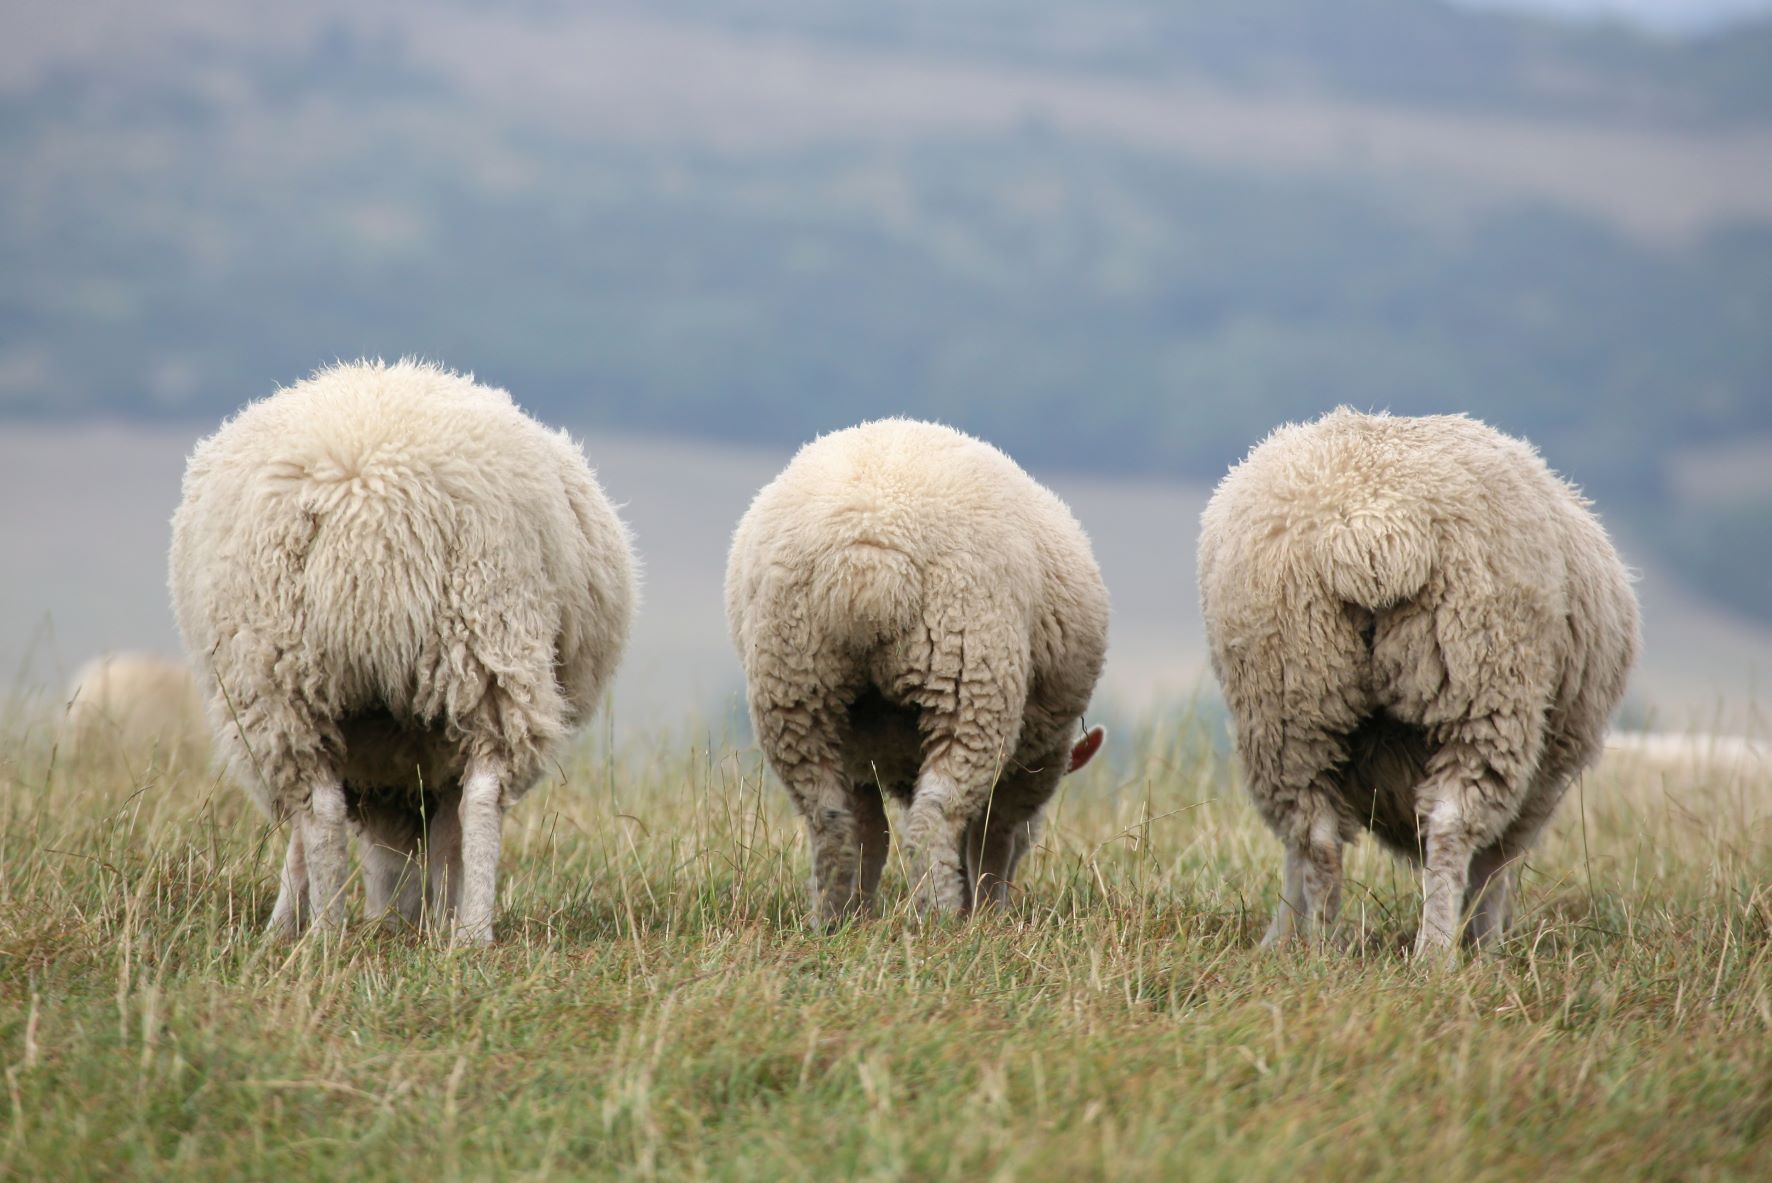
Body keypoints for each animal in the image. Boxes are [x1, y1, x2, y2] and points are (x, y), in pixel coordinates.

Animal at [169, 361, 641, 942]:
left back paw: (366, 934)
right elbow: (439, 838)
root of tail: (372, 512)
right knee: (447, 799)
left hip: (303, 665)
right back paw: (416, 933)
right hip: (459, 646)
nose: (394, 922)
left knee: (347, 808)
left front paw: (284, 924)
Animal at [719, 417, 1105, 920]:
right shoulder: (1035, 764)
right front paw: (989, 912)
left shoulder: (860, 758)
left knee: (832, 820)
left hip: (792, 683)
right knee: (934, 816)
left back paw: (833, 917)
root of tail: (866, 556)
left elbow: (874, 833)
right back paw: (939, 915)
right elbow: (992, 837)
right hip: (970, 675)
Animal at [1197, 410, 1637, 956]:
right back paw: (1436, 952)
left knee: (1315, 836)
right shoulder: (1543, 782)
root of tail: (1371, 531)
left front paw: (1278, 940)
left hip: (1288, 697)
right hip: (1485, 686)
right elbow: (1497, 867)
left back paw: (1319, 947)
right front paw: (1489, 945)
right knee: (1451, 827)